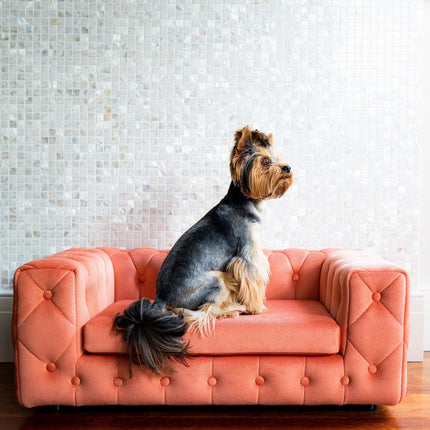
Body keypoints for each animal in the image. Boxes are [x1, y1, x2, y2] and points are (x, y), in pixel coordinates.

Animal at [111, 126, 292, 374]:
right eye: (265, 161)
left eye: (277, 158)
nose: (288, 168)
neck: (243, 200)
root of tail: (161, 296)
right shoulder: (248, 254)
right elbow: (253, 279)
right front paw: (257, 308)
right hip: (215, 279)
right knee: (199, 312)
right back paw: (230, 311)